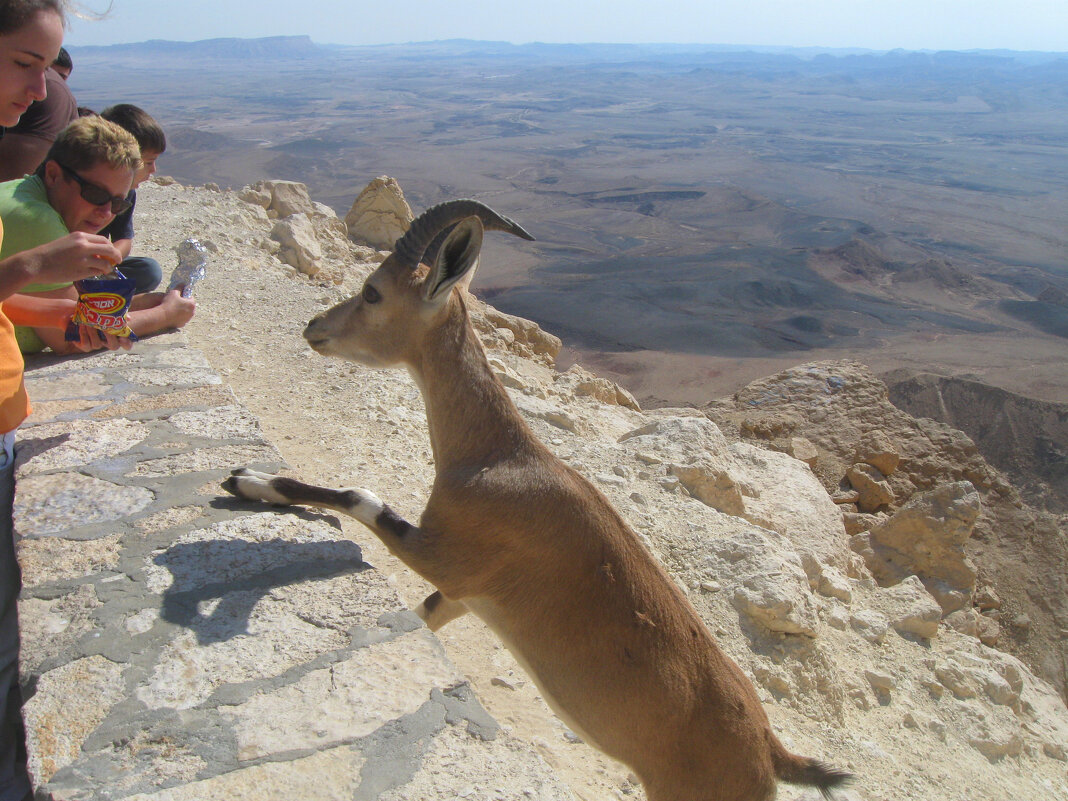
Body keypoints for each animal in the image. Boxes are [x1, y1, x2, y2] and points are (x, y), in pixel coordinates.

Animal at [225, 201, 850, 801]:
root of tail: (771, 753)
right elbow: (422, 615)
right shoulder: (466, 595)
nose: (314, 327)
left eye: (374, 290)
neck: (498, 457)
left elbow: (360, 496)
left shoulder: (447, 556)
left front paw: (250, 480)